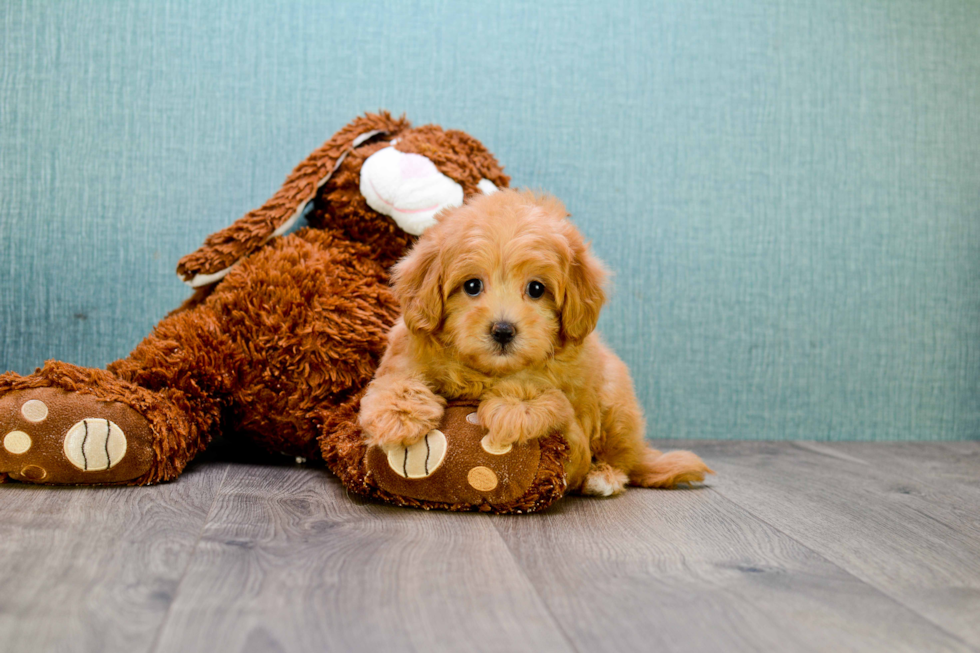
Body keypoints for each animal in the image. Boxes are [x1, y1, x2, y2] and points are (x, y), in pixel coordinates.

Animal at [356, 188, 708, 494]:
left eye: (537, 289)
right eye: (472, 286)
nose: (503, 330)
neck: (486, 373)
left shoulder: (573, 419)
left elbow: (550, 400)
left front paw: (515, 406)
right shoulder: (406, 353)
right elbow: (396, 380)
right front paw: (398, 416)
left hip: (616, 402)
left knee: (622, 459)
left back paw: (604, 477)